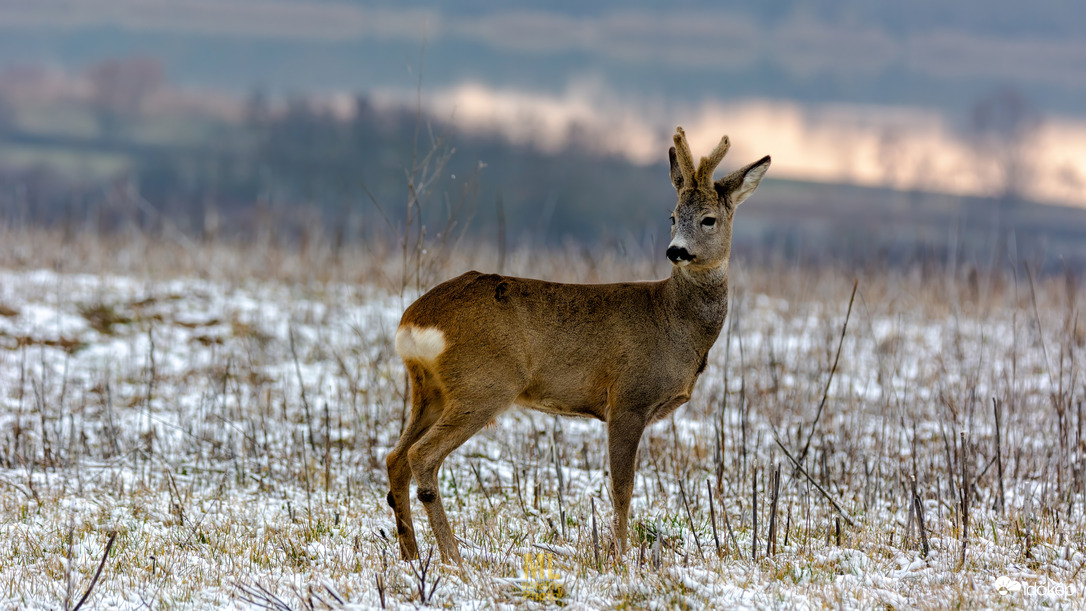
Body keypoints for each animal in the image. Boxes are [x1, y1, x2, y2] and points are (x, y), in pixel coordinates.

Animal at [386, 128, 768, 564]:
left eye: (708, 219)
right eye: (672, 217)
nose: (676, 251)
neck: (674, 321)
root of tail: (414, 318)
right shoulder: (628, 398)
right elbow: (622, 488)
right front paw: (619, 556)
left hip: (428, 389)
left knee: (395, 457)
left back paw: (411, 554)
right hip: (484, 384)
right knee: (421, 456)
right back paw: (453, 557)